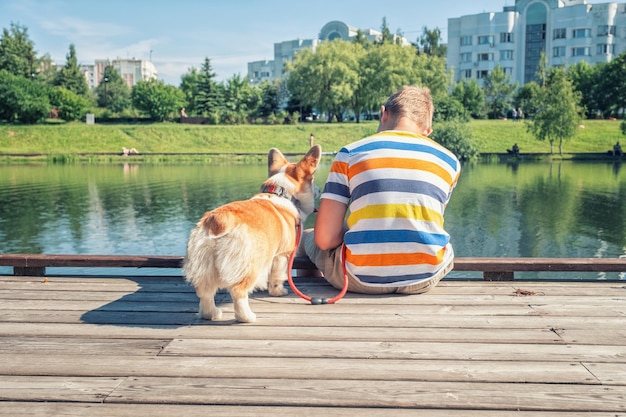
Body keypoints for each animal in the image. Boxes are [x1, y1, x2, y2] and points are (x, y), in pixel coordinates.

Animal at [180, 145, 316, 324]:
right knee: (238, 291)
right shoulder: (281, 255)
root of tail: (219, 220)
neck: (280, 192)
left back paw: (211, 314)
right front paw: (278, 292)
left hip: (205, 265)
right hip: (250, 264)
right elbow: (276, 276)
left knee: (205, 292)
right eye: (313, 180)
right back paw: (247, 317)